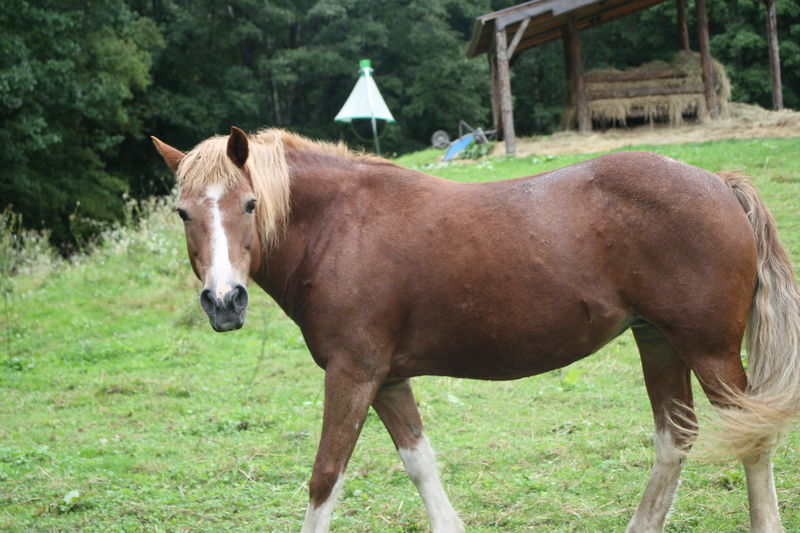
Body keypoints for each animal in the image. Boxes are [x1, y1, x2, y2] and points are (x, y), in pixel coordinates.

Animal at [152, 127, 800, 528]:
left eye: (249, 205)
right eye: (183, 212)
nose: (224, 302)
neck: (341, 225)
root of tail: (717, 183)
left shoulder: (352, 375)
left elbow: (325, 476)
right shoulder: (386, 380)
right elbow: (420, 463)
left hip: (710, 351)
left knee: (752, 438)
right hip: (659, 342)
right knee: (675, 439)